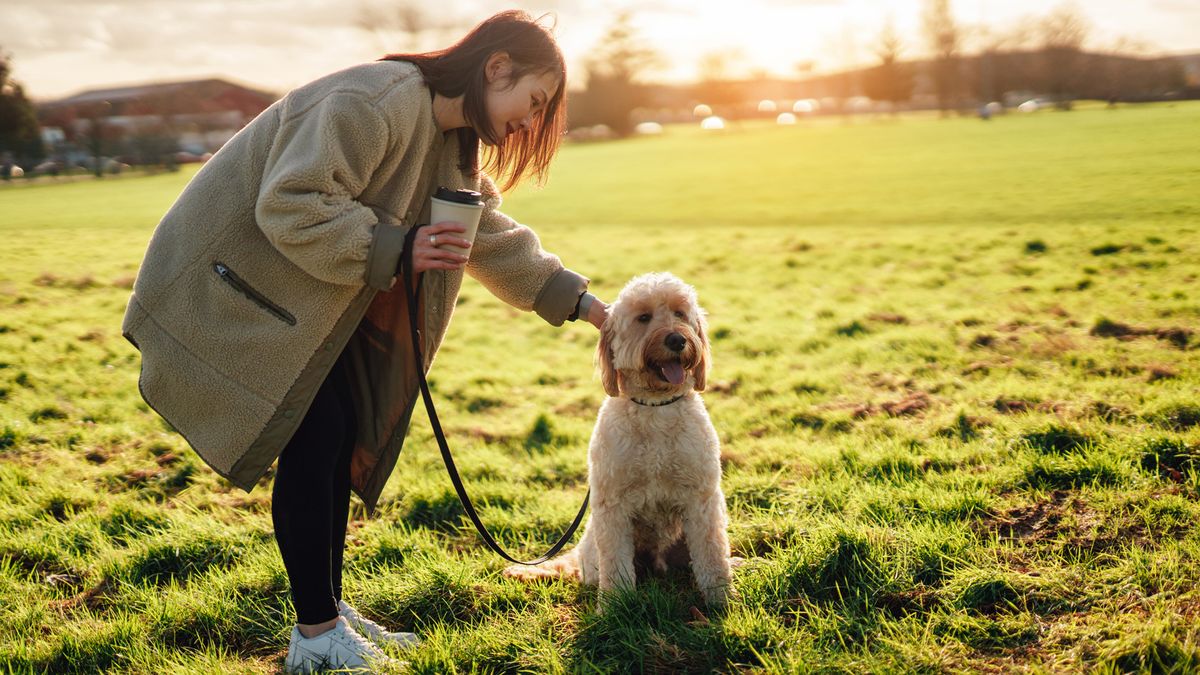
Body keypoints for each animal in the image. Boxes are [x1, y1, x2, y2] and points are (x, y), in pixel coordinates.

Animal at [504, 270, 729, 607]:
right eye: (643, 317)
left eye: (680, 313)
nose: (677, 339)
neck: (655, 409)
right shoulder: (613, 506)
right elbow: (616, 565)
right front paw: (615, 606)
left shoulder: (702, 500)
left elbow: (712, 554)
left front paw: (721, 599)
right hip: (594, 546)